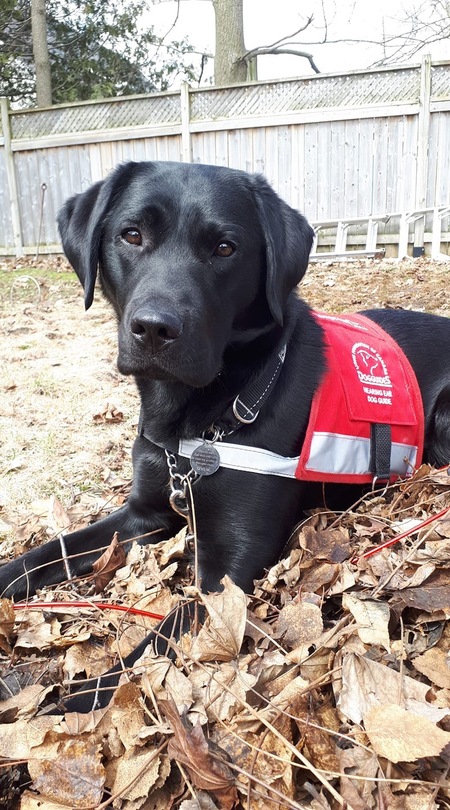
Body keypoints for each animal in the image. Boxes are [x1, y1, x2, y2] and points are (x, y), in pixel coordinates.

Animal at [0, 159, 450, 708]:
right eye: (132, 235)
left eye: (225, 248)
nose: (155, 329)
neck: (196, 423)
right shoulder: (143, 514)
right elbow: (50, 551)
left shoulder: (232, 565)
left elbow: (160, 638)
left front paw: (84, 694)